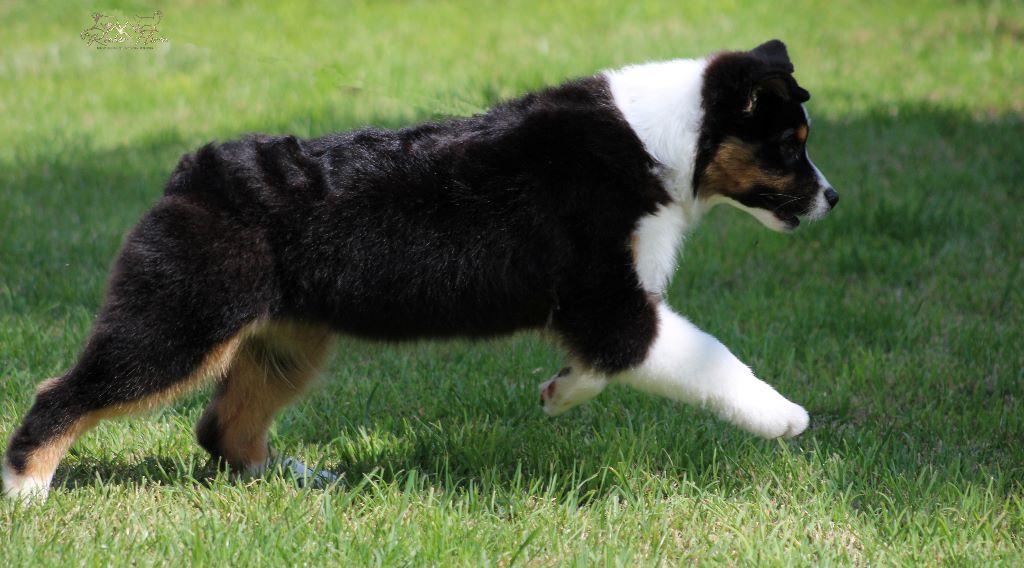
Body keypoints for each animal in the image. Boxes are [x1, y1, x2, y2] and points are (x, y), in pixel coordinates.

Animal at [3, 40, 837, 499]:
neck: (666, 141)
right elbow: (712, 358)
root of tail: (189, 171)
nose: (831, 197)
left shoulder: (606, 314)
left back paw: (295, 479)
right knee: (64, 393)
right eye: (787, 147)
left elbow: (603, 367)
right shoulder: (611, 303)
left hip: (287, 340)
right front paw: (786, 417)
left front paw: (559, 393)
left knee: (223, 425)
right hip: (181, 320)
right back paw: (27, 489)